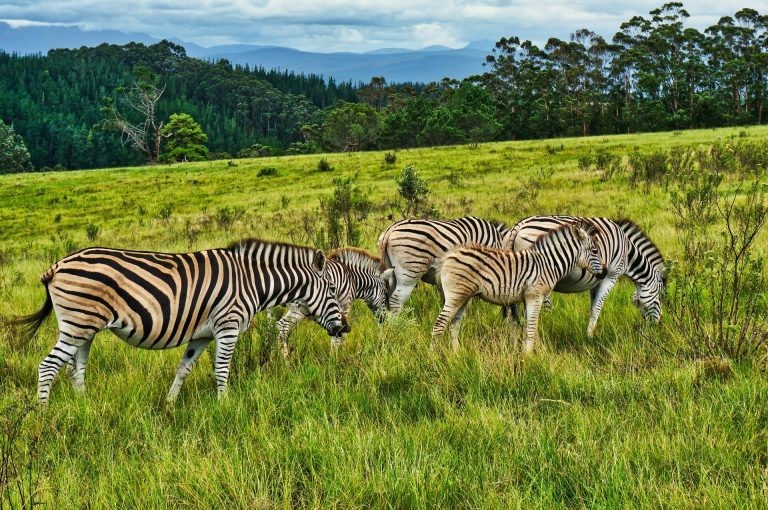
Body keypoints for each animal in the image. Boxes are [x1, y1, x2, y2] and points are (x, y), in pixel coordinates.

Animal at [11, 239, 349, 404]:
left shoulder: (202, 334)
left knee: (75, 369)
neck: (253, 281)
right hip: (77, 324)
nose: (345, 329)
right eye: (332, 290)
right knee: (48, 366)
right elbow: (222, 369)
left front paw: (170, 404)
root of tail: (56, 265)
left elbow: (184, 368)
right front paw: (225, 405)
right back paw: (42, 412)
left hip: (86, 328)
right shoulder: (227, 327)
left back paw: (84, 406)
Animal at [432, 223, 605, 353]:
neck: (548, 263)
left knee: (454, 325)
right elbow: (532, 329)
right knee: (439, 325)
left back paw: (457, 355)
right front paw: (528, 357)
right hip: (456, 295)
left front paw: (524, 353)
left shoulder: (528, 298)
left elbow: (527, 328)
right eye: (595, 251)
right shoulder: (535, 296)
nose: (604, 273)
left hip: (464, 296)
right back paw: (434, 358)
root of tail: (448, 256)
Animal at [502, 216, 666, 337]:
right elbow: (597, 308)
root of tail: (519, 226)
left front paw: (589, 333)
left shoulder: (597, 280)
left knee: (512, 313)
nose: (657, 326)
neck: (627, 253)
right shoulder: (611, 276)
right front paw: (590, 336)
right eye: (660, 297)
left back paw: (513, 337)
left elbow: (593, 306)